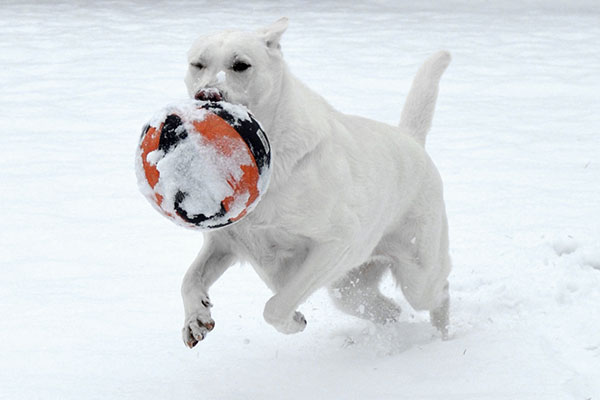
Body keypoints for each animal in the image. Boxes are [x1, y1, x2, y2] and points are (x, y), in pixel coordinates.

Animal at [180, 18, 452, 346]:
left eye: (241, 65)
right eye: (198, 64)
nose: (207, 95)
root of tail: (412, 139)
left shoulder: (336, 243)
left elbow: (276, 306)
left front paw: (294, 322)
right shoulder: (225, 243)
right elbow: (189, 279)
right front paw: (196, 319)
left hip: (417, 273)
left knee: (439, 293)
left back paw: (443, 337)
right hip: (348, 288)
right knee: (389, 310)